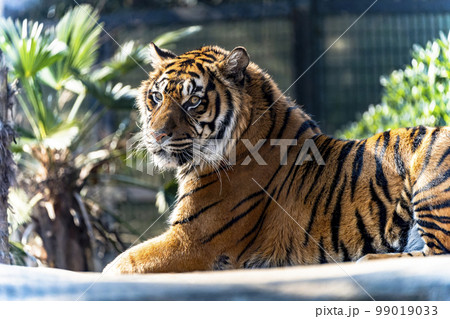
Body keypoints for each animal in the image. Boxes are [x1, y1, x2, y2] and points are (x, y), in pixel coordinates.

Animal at [104, 43, 450, 276]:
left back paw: (368, 260)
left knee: (438, 253)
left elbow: (120, 264)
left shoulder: (193, 240)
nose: (156, 135)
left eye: (193, 101)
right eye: (157, 97)